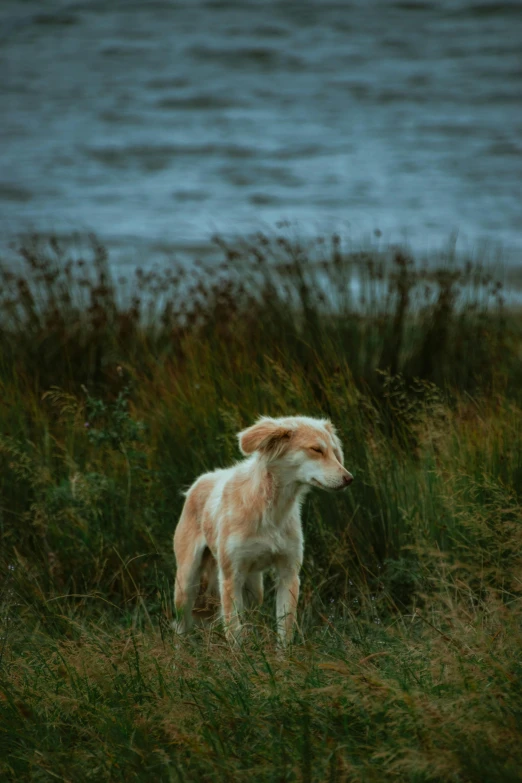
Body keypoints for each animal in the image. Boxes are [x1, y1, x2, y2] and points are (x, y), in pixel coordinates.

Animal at [173, 416, 352, 644]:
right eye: (316, 450)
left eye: (334, 451)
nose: (349, 479)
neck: (270, 509)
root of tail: (199, 481)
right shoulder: (231, 578)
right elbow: (234, 632)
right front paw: (239, 654)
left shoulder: (288, 574)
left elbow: (284, 631)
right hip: (186, 584)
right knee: (181, 627)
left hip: (254, 589)